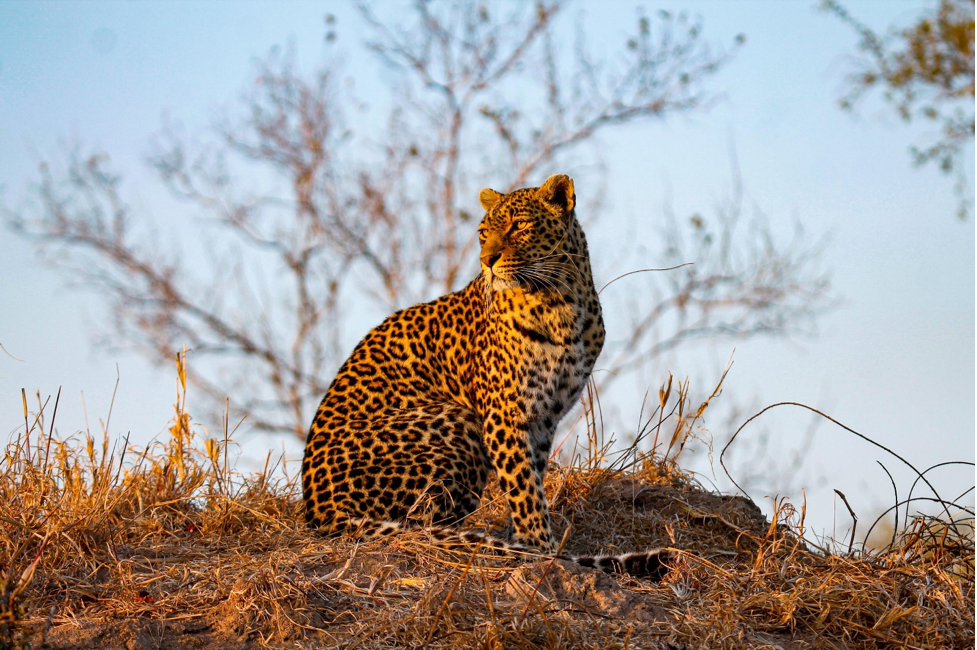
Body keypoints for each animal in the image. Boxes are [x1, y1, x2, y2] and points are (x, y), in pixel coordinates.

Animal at [302, 174, 673, 578]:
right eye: (483, 233)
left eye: (519, 226)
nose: (487, 261)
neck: (560, 301)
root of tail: (320, 511)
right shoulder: (504, 414)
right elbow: (523, 485)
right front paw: (540, 550)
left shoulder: (544, 415)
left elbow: (531, 476)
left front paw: (524, 539)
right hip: (459, 421)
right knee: (420, 523)